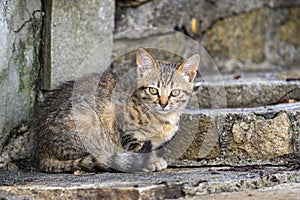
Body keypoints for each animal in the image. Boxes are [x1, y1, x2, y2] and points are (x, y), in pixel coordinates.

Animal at [37, 48, 199, 172]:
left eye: (175, 92)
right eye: (153, 90)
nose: (163, 103)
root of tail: (42, 151)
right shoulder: (126, 130)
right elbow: (139, 149)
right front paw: (151, 162)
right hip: (86, 118)